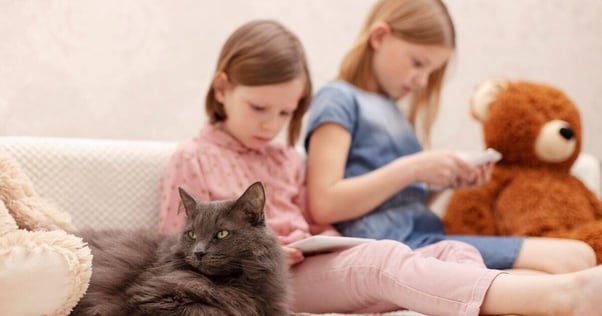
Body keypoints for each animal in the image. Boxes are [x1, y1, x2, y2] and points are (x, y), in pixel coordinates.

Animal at [71, 181, 290, 314]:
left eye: (222, 234)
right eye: (192, 234)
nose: (199, 252)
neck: (233, 283)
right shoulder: (153, 297)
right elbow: (211, 310)